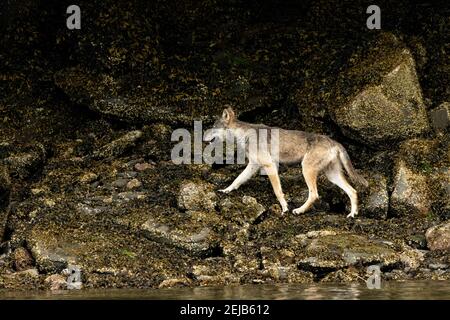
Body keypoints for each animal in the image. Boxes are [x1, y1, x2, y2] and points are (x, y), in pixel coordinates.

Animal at [206, 107, 368, 218]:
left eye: (213, 127)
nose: (203, 135)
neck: (244, 134)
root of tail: (335, 142)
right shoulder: (253, 166)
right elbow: (237, 180)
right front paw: (225, 190)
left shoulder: (270, 166)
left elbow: (277, 191)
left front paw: (284, 208)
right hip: (332, 175)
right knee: (353, 191)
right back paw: (352, 214)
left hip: (307, 170)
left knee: (314, 194)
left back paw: (299, 210)